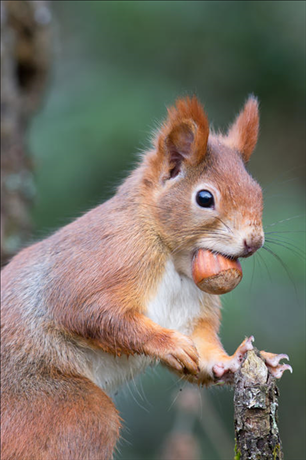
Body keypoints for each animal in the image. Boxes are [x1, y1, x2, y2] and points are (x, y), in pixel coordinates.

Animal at [0, 95, 292, 458]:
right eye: (205, 198)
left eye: (257, 190)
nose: (254, 241)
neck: (173, 258)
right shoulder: (99, 264)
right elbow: (90, 313)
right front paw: (168, 344)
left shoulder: (192, 310)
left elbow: (206, 353)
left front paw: (237, 360)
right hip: (63, 410)